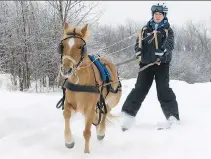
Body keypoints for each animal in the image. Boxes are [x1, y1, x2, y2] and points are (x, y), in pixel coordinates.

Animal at [57, 23, 123, 153]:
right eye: (63, 45)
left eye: (80, 46)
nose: (66, 70)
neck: (80, 83)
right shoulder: (71, 104)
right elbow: (66, 114)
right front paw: (69, 141)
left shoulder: (90, 108)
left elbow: (87, 132)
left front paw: (86, 153)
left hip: (112, 99)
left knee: (106, 111)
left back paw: (101, 131)